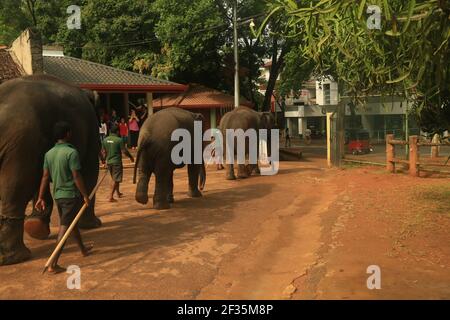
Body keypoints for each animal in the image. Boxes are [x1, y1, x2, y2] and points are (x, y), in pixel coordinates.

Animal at [0, 74, 102, 264]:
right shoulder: (91, 125)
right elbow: (89, 170)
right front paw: (94, 225)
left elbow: (42, 176)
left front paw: (35, 228)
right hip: (22, 140)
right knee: (17, 184)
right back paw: (16, 257)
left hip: (21, 141)